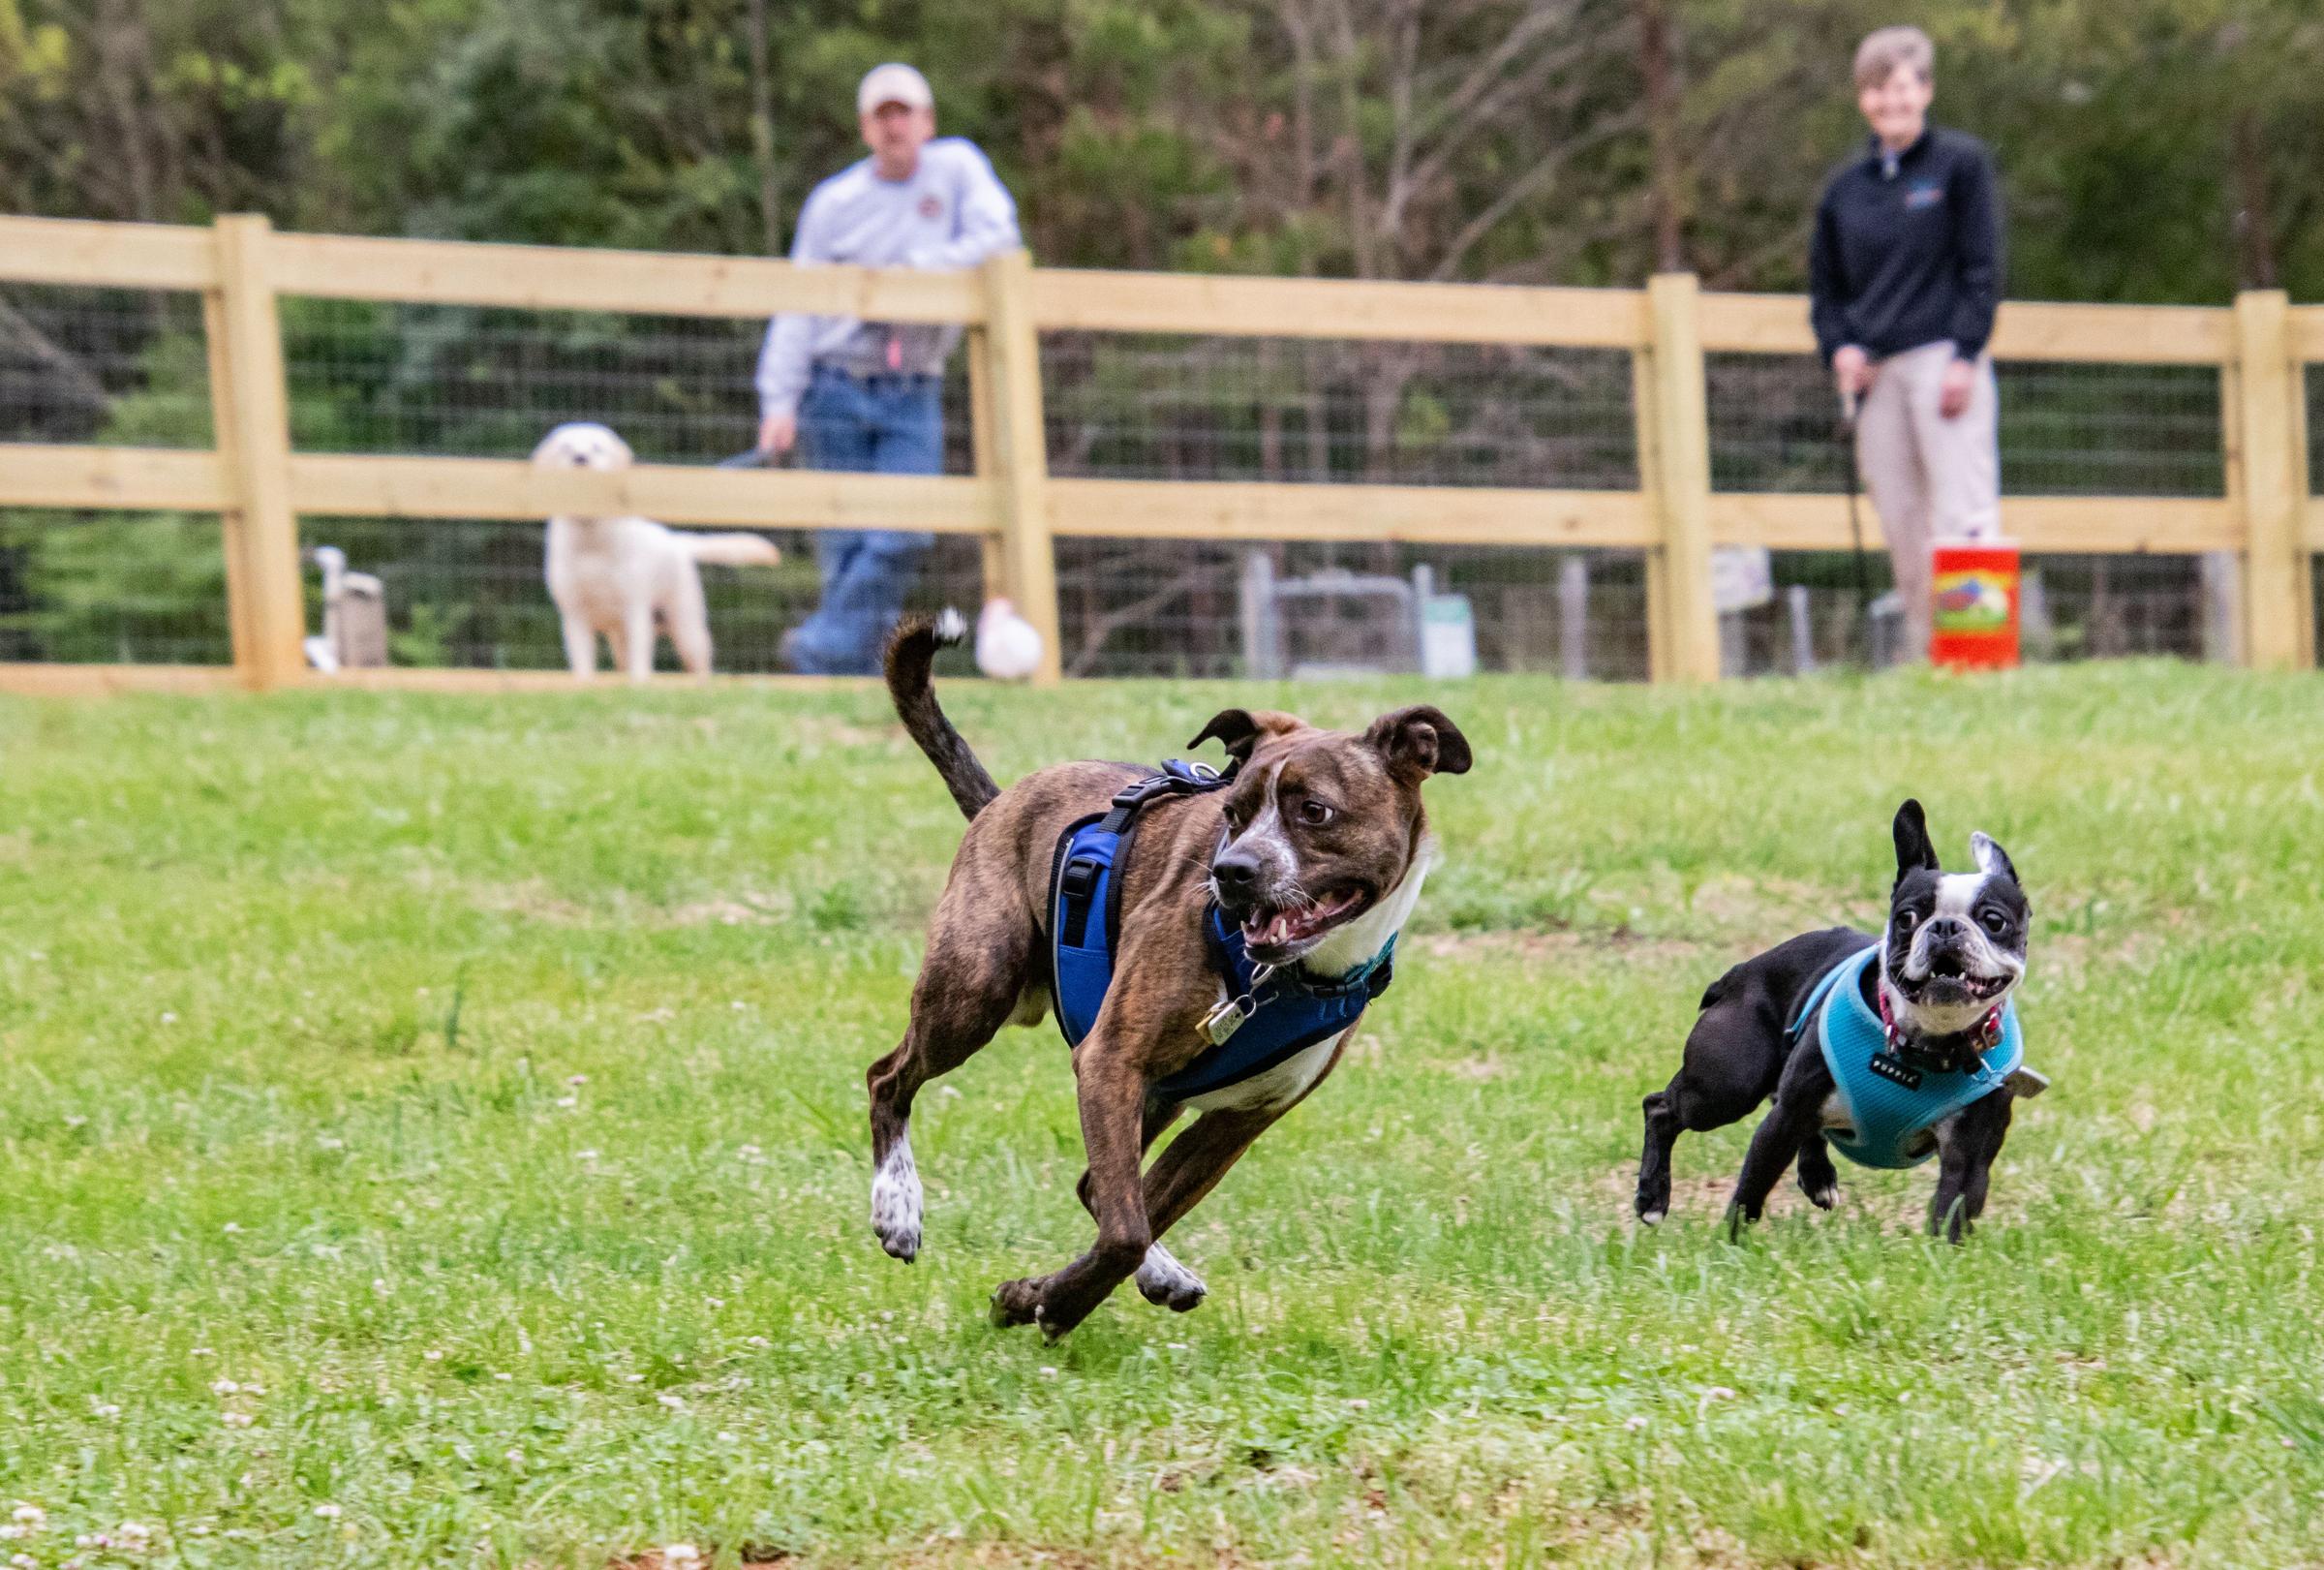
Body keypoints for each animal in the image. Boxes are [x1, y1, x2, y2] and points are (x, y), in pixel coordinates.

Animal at [532, 423, 780, 684]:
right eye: (565, 448)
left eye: (597, 447)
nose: (580, 458)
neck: (591, 544)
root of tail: (677, 541)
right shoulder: (574, 615)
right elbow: (583, 663)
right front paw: (585, 683)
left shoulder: (635, 608)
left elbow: (640, 660)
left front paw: (640, 684)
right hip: (620, 637)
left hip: (686, 628)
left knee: (700, 665)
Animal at [1627, 804, 2045, 1247]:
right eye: (1907, 917)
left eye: (1994, 921)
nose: (1945, 926)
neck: (1924, 1044)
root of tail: (1742, 970)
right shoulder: (1783, 1122)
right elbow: (1751, 1188)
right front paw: (1731, 1243)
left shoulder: (1969, 1157)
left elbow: (1953, 1210)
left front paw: (1939, 1257)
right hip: (1726, 1086)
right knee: (1660, 1107)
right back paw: (1652, 1198)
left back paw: (1817, 1177)